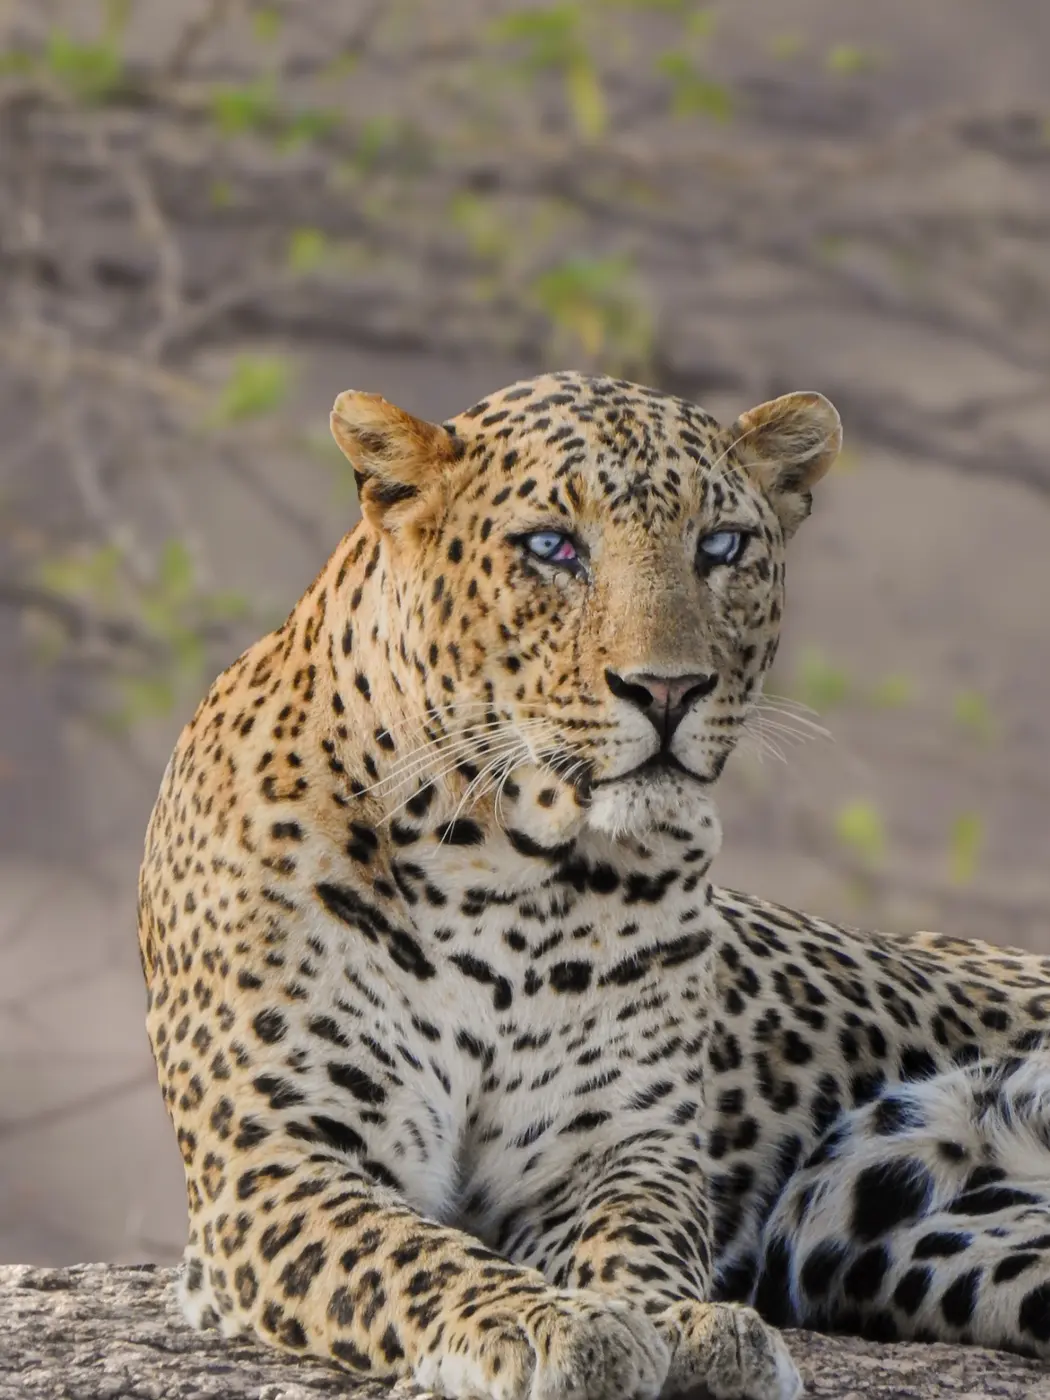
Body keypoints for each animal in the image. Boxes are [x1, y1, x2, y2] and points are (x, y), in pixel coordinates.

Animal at [138, 369, 1050, 1400]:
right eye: (552, 547)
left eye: (720, 545)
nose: (668, 691)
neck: (497, 864)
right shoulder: (277, 1158)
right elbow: (412, 1250)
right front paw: (537, 1321)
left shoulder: (621, 1145)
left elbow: (639, 1240)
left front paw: (682, 1324)